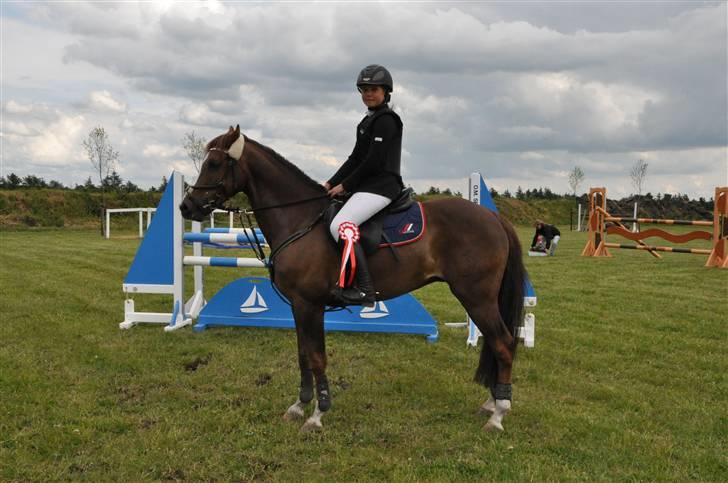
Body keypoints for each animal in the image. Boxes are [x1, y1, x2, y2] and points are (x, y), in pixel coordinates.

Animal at [179, 126, 528, 432]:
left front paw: (317, 414)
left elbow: (317, 357)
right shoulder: (297, 306)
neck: (301, 219)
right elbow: (303, 354)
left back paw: (498, 414)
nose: (186, 206)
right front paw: (299, 405)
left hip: (476, 297)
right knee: (497, 344)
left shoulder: (309, 305)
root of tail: (493, 218)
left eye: (213, 164)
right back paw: (491, 403)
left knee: (503, 343)